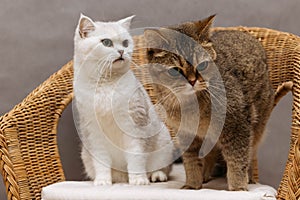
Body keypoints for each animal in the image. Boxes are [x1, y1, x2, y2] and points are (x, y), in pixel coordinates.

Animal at [72, 14, 173, 186]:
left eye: (126, 43)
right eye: (106, 42)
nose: (121, 51)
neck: (106, 84)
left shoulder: (134, 125)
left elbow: (135, 157)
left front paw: (139, 180)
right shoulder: (93, 131)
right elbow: (101, 162)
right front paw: (103, 181)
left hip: (164, 142)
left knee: (162, 169)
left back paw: (156, 176)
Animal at [145, 15, 274, 191]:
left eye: (202, 65)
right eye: (175, 70)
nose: (193, 81)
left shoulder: (238, 126)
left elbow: (237, 160)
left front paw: (238, 187)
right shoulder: (187, 135)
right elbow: (191, 163)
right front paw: (193, 184)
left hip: (257, 125)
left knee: (250, 152)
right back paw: (206, 174)